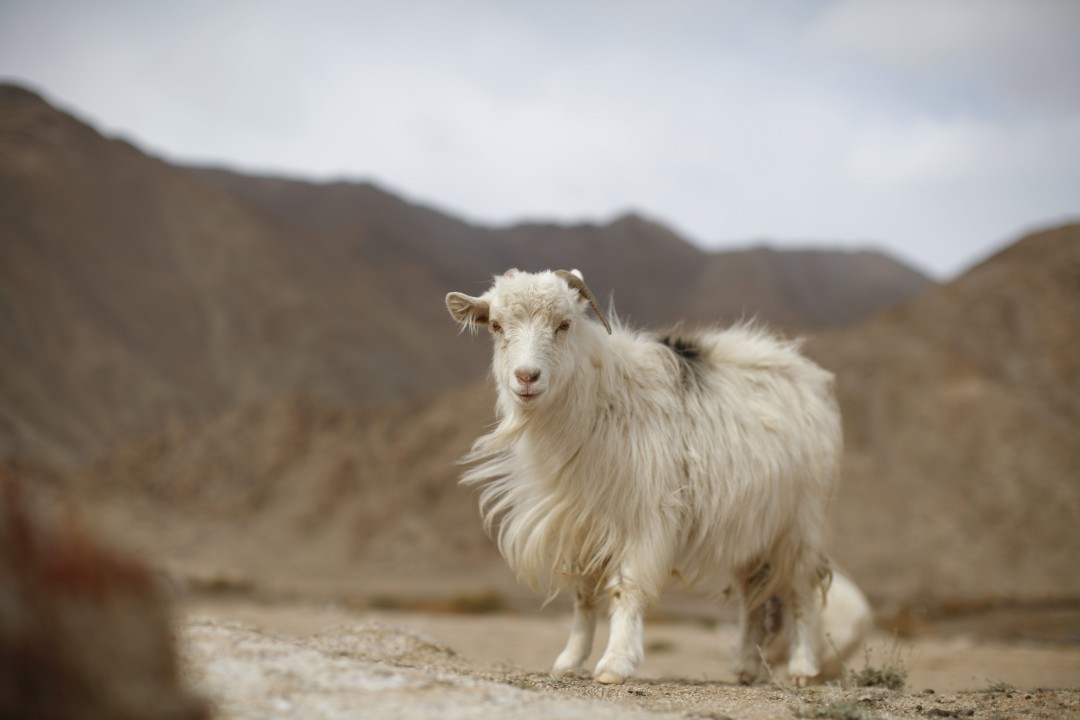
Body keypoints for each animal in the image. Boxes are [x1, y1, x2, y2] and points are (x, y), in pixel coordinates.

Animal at [446, 268, 842, 685]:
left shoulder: (644, 520)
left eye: (564, 324)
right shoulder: (578, 526)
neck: (603, 402)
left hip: (799, 525)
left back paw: (802, 669)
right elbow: (582, 597)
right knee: (754, 594)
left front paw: (614, 664)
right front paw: (570, 660)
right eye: (495, 325)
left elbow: (627, 588)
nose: (526, 377)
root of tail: (805, 373)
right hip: (752, 529)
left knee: (801, 591)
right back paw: (748, 667)